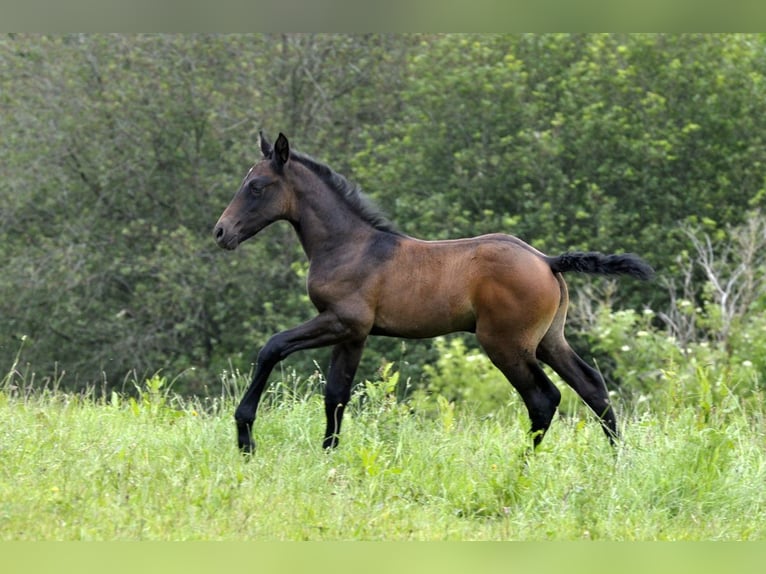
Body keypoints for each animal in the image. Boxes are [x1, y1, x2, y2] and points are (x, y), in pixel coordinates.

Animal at [214, 130, 656, 454]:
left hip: (506, 344)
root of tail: (547, 260)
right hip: (549, 339)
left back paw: (522, 465)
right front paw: (329, 456)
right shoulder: (354, 334)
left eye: (256, 186)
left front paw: (245, 435)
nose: (221, 232)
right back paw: (618, 461)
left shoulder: (341, 321)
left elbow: (272, 347)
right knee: (592, 386)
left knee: (544, 398)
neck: (350, 245)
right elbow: (335, 394)